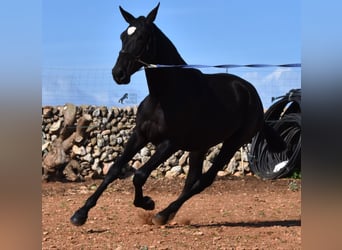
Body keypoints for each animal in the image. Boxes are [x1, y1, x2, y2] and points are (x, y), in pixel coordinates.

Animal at [70, 3, 286, 227]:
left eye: (142, 37)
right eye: (122, 35)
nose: (118, 73)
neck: (163, 96)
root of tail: (252, 94)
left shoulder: (170, 144)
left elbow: (139, 175)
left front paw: (147, 203)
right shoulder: (139, 135)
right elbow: (114, 170)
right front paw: (80, 213)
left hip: (233, 143)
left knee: (203, 181)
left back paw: (162, 214)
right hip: (200, 146)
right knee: (191, 180)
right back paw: (168, 214)